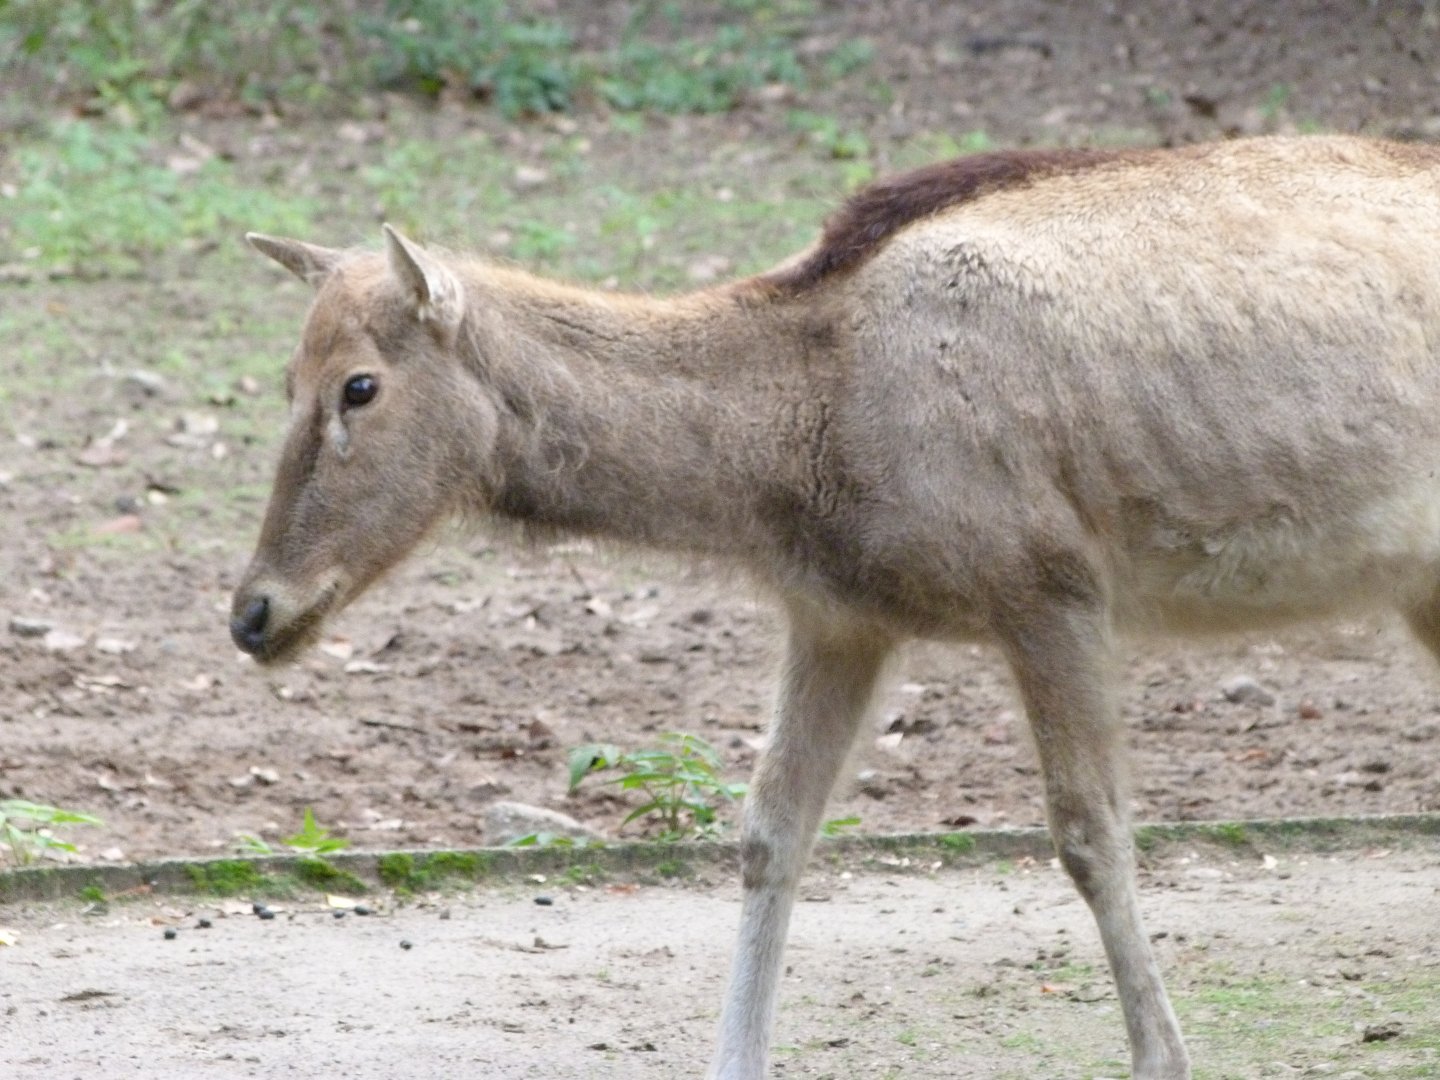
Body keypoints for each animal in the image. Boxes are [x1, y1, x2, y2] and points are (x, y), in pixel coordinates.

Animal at [231, 134, 1440, 1079]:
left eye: (358, 386)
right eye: (284, 381)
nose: (252, 612)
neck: (805, 442)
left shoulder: (1050, 584)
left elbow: (1091, 834)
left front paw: (1162, 1055)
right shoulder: (839, 616)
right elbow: (771, 833)